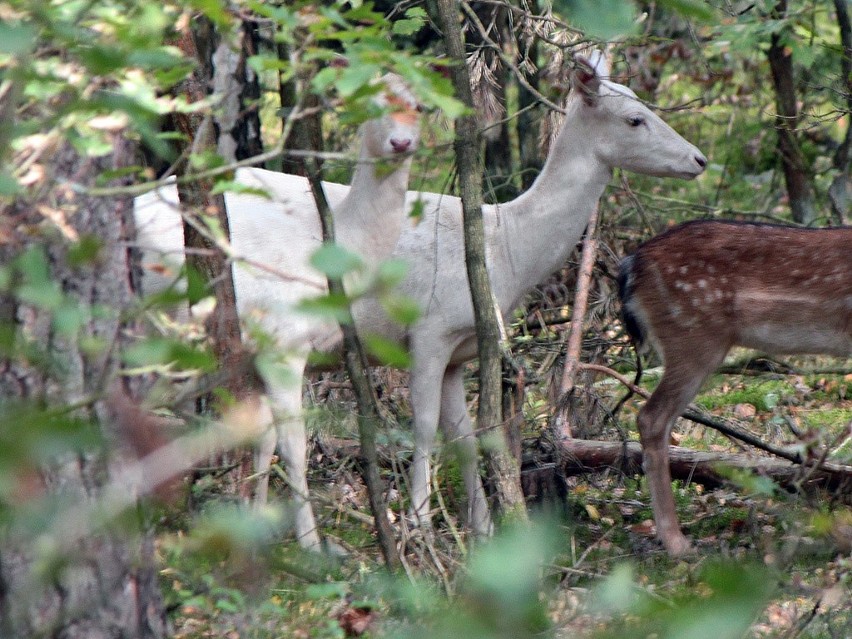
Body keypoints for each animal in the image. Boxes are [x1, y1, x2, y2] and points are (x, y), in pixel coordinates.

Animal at [132, 75, 420, 552]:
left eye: (421, 106)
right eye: (369, 103)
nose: (401, 142)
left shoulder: (253, 353)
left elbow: (262, 438)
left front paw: (257, 524)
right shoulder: (283, 343)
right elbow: (293, 444)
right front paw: (311, 544)